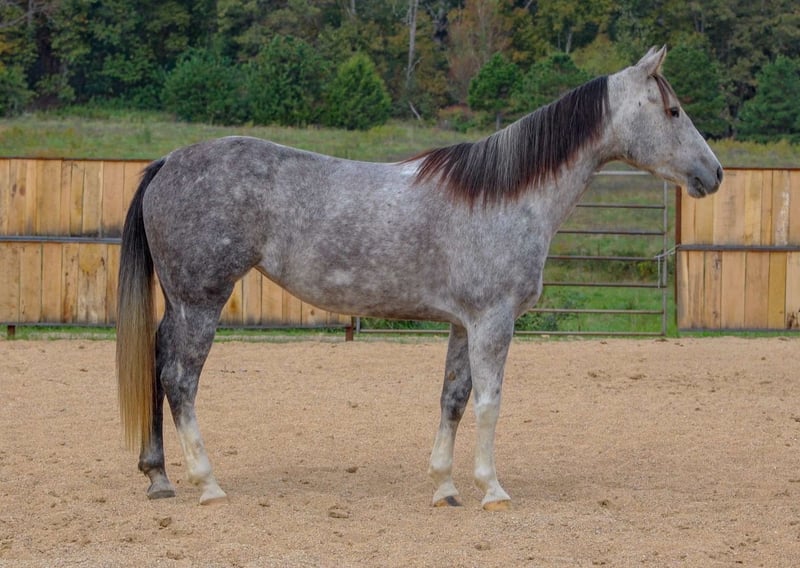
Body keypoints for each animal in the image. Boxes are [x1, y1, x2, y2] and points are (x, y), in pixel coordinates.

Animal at [116, 46, 723, 510]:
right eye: (673, 110)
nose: (714, 173)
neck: (504, 197)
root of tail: (169, 162)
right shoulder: (493, 322)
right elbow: (489, 401)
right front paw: (491, 490)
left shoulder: (462, 323)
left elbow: (453, 398)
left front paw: (445, 487)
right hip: (202, 300)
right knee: (179, 379)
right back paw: (207, 484)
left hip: (179, 302)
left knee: (156, 362)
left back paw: (159, 476)